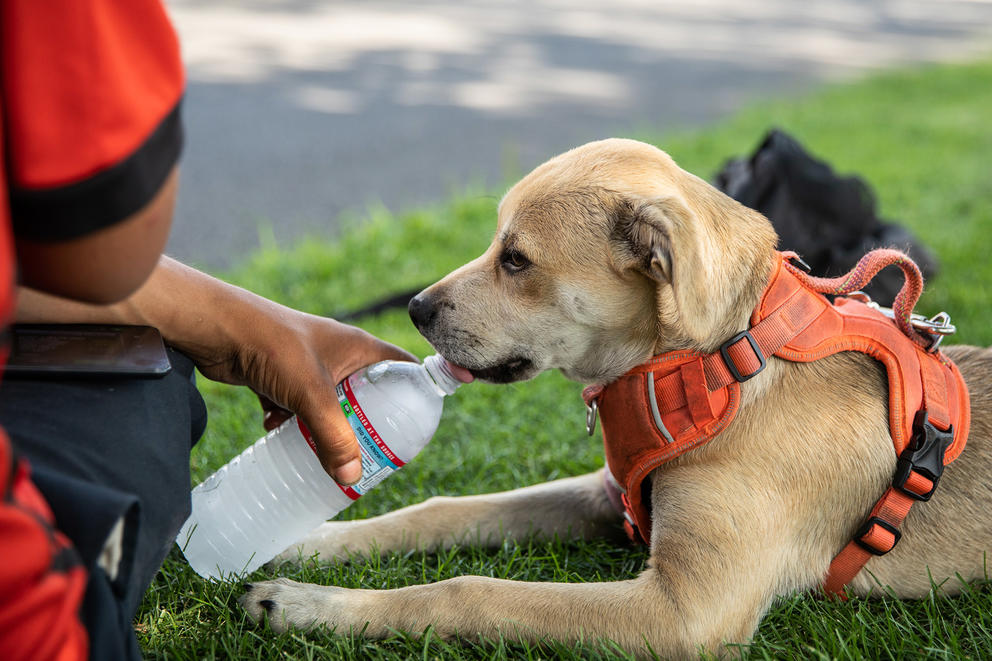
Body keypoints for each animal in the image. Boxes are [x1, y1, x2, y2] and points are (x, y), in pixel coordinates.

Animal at [240, 137, 992, 656]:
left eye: (516, 259)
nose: (416, 309)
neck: (720, 361)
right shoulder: (609, 497)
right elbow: (446, 508)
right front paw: (311, 543)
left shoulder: (685, 614)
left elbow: (470, 591)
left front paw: (309, 605)